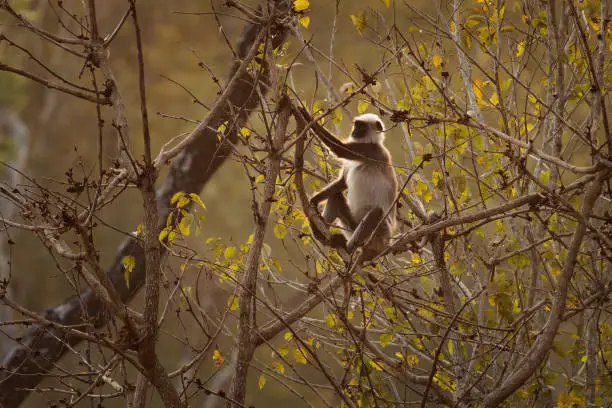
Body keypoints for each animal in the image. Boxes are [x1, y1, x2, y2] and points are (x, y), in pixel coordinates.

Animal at [306, 111, 402, 258]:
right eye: (356, 125)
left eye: (361, 127)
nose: (354, 131)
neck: (370, 141)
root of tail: (387, 244)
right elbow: (342, 183)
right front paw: (314, 201)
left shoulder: (372, 151)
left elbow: (340, 148)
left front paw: (302, 113)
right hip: (351, 227)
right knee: (336, 196)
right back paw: (321, 235)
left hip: (380, 235)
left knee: (376, 213)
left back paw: (348, 249)